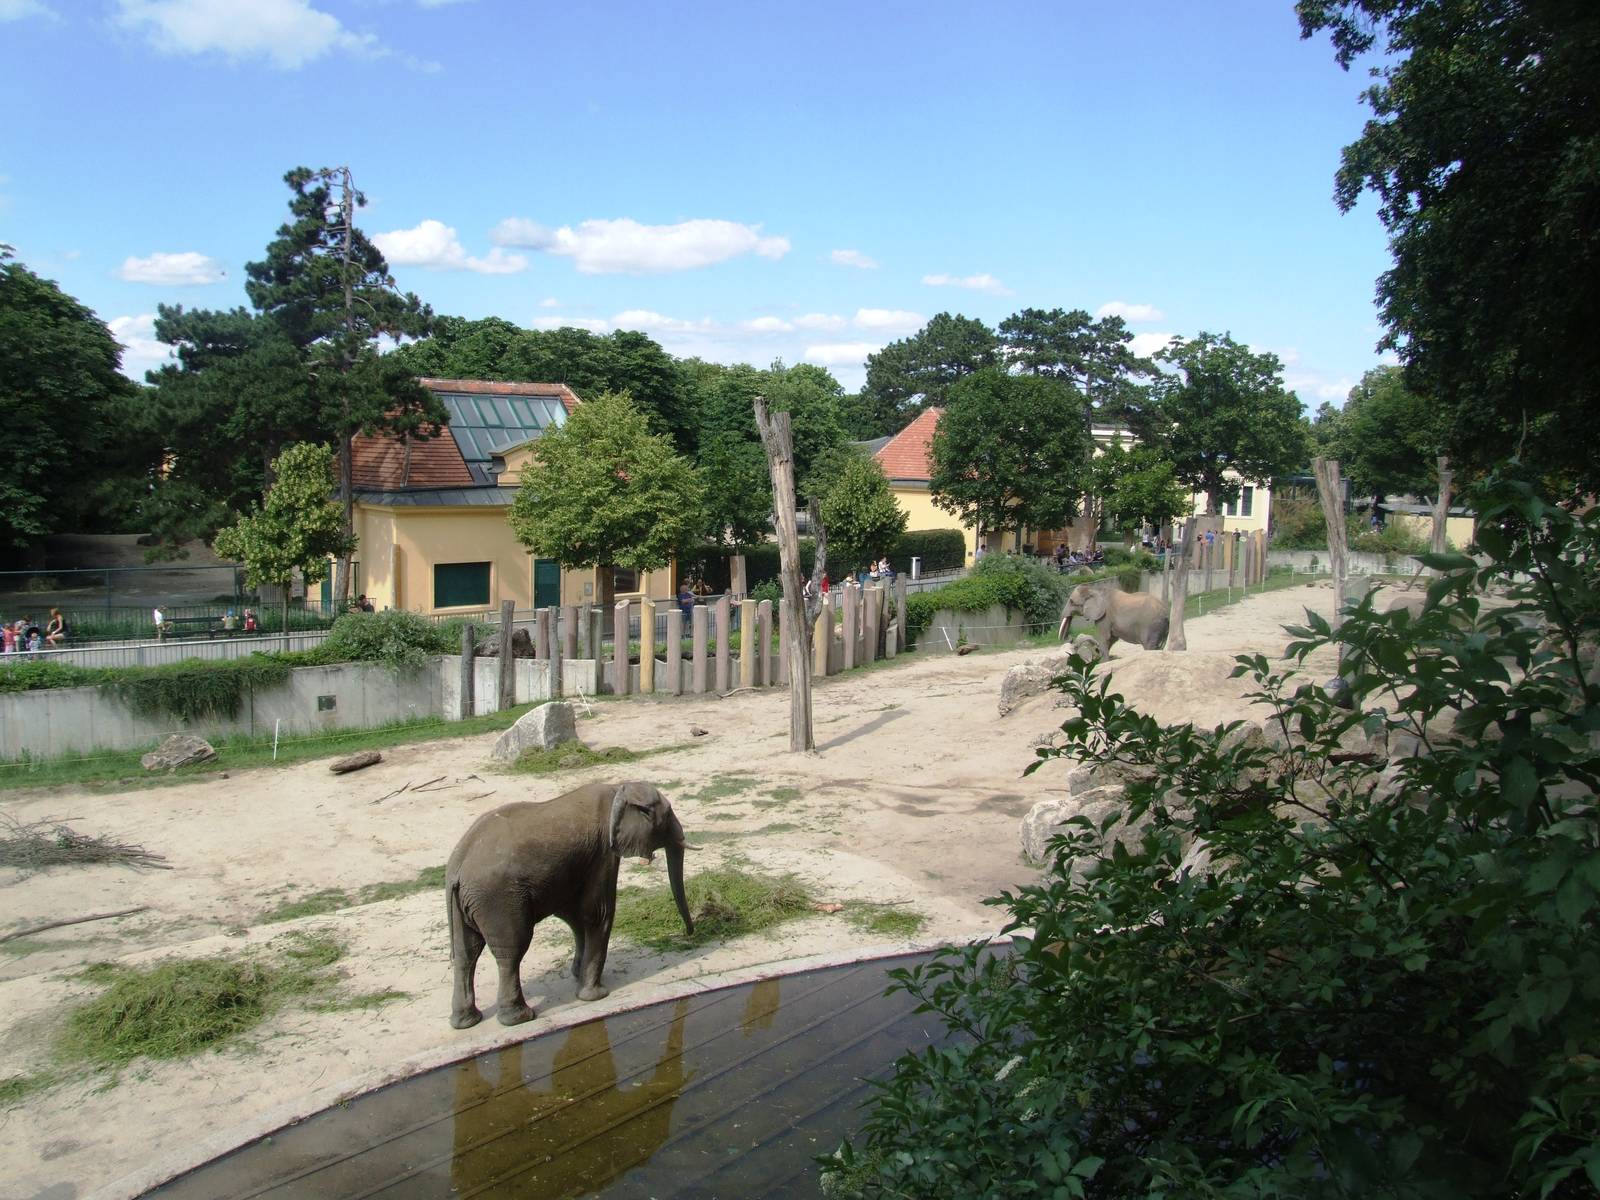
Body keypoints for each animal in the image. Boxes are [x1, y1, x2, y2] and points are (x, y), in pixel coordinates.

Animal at [446, 781, 693, 1029]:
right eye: (668, 814)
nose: (688, 934)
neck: (618, 789)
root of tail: (457, 869)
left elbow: (574, 915)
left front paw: (577, 974)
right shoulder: (603, 852)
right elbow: (598, 912)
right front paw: (596, 995)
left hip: (468, 903)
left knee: (466, 953)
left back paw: (465, 1021)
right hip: (498, 899)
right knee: (511, 950)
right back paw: (519, 1018)